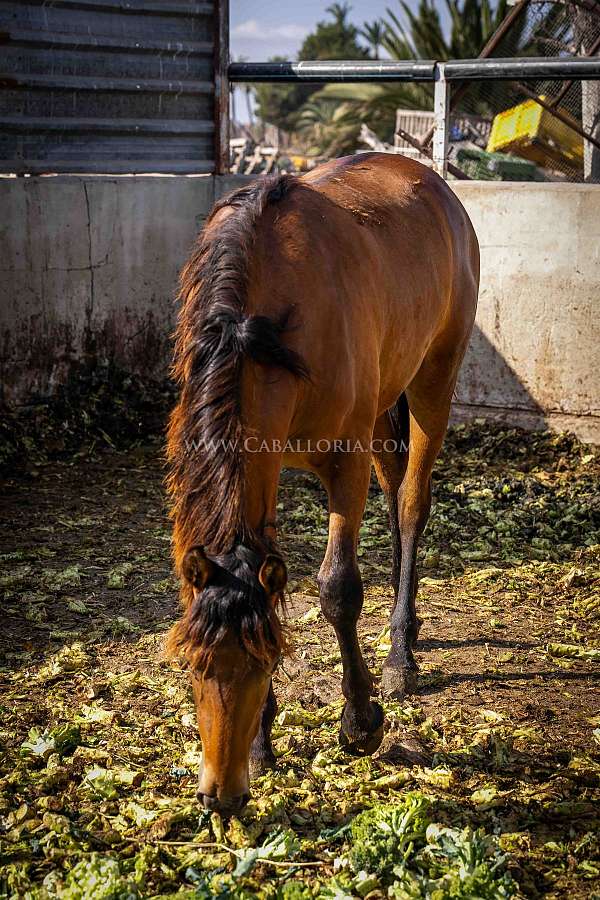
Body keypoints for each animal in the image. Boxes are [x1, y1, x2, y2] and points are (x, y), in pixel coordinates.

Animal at [166, 153, 480, 816]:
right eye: (195, 665)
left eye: (262, 663)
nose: (221, 797)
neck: (260, 327)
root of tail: (433, 184)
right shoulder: (263, 463)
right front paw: (264, 744)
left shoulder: (344, 463)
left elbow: (338, 588)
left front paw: (361, 723)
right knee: (395, 491)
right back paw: (407, 627)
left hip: (434, 379)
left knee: (410, 503)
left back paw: (400, 655)